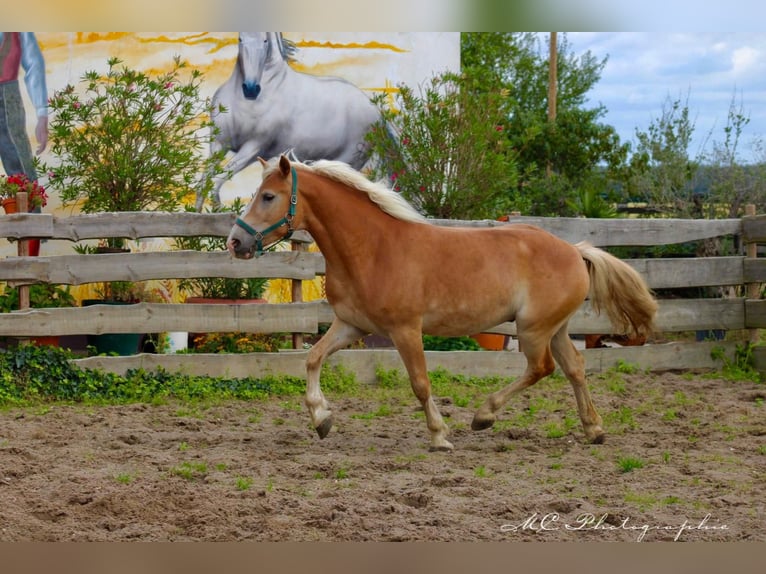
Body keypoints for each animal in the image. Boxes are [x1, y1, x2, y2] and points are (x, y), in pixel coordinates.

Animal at [200, 32, 382, 212]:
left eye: (265, 41)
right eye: (240, 39)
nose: (251, 89)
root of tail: (377, 112)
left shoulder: (253, 148)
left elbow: (215, 182)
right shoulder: (218, 144)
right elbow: (204, 182)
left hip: (347, 160)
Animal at [228, 155, 660, 452]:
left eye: (268, 196)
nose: (236, 242)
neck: (373, 248)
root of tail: (574, 250)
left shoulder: (405, 330)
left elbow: (420, 383)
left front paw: (439, 435)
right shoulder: (352, 325)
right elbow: (313, 358)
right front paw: (321, 419)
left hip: (533, 330)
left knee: (543, 368)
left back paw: (484, 416)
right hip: (555, 328)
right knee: (575, 367)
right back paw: (593, 429)